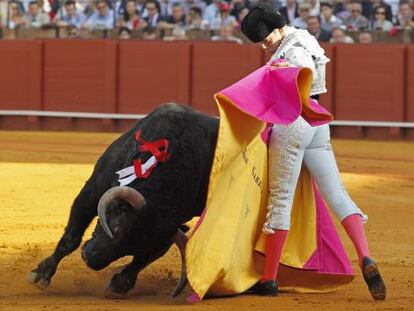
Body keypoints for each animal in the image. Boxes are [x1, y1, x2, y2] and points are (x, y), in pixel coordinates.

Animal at [29, 103, 220, 298]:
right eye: (115, 227)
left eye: (132, 248)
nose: (90, 259)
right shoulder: (92, 189)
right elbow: (71, 237)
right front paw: (41, 274)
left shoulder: (166, 230)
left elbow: (146, 258)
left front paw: (119, 285)